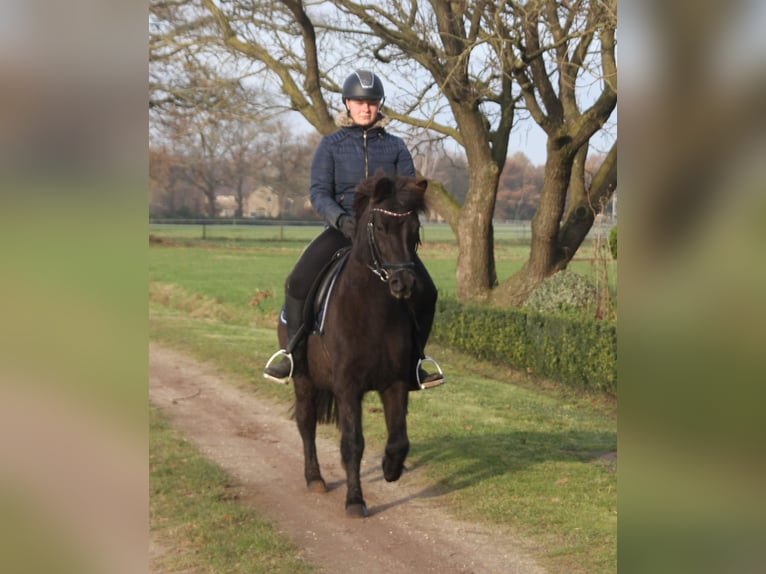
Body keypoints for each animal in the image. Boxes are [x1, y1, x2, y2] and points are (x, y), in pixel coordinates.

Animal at [278, 173, 436, 520]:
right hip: (303, 379)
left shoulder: (395, 383)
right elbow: (353, 443)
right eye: (380, 227)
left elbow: (399, 440)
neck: (373, 311)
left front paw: (391, 468)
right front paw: (354, 500)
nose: (404, 284)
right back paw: (315, 478)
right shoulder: (347, 386)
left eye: (415, 229)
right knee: (306, 423)